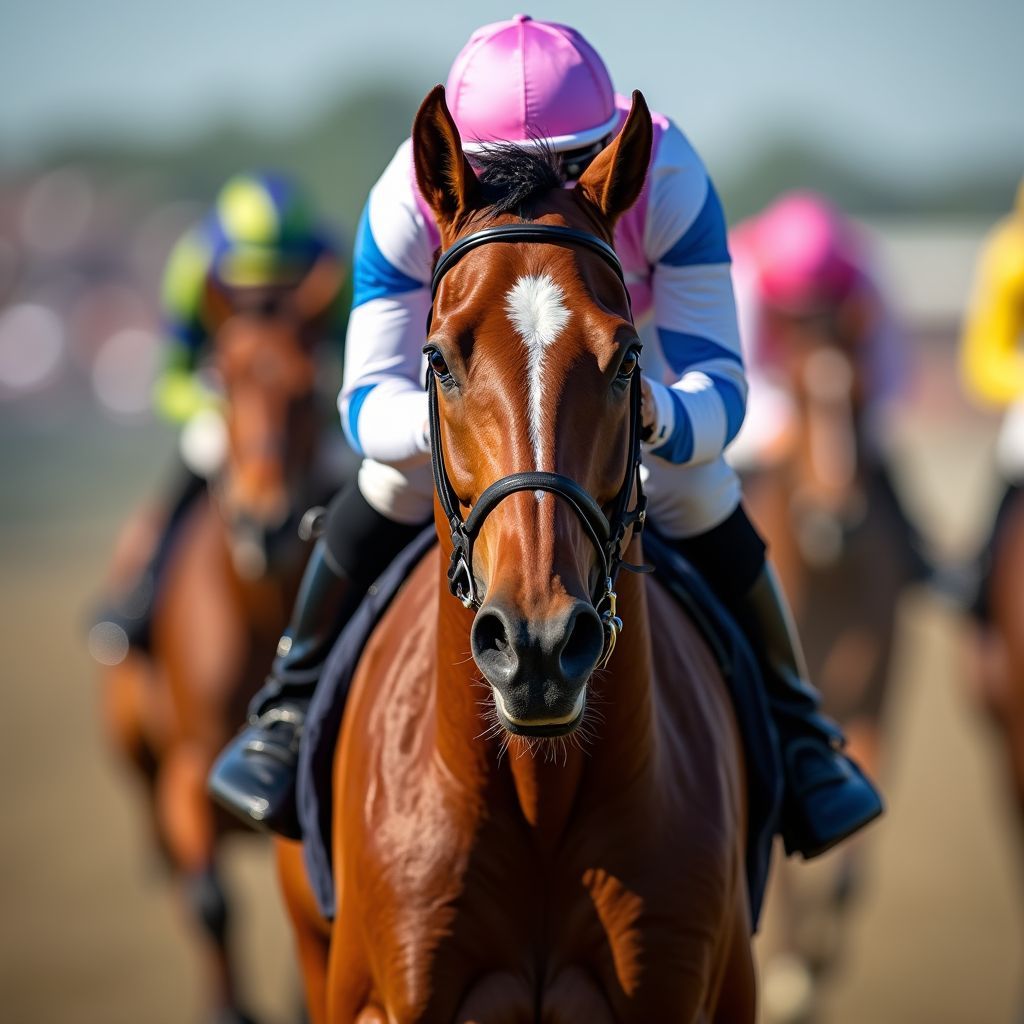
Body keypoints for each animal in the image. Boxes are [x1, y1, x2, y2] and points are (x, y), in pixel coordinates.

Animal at [734, 313, 919, 1021]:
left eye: (863, 395)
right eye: (795, 392)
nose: (834, 523)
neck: (830, 575)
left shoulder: (872, 700)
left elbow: (848, 876)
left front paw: (812, 966)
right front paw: (790, 974)